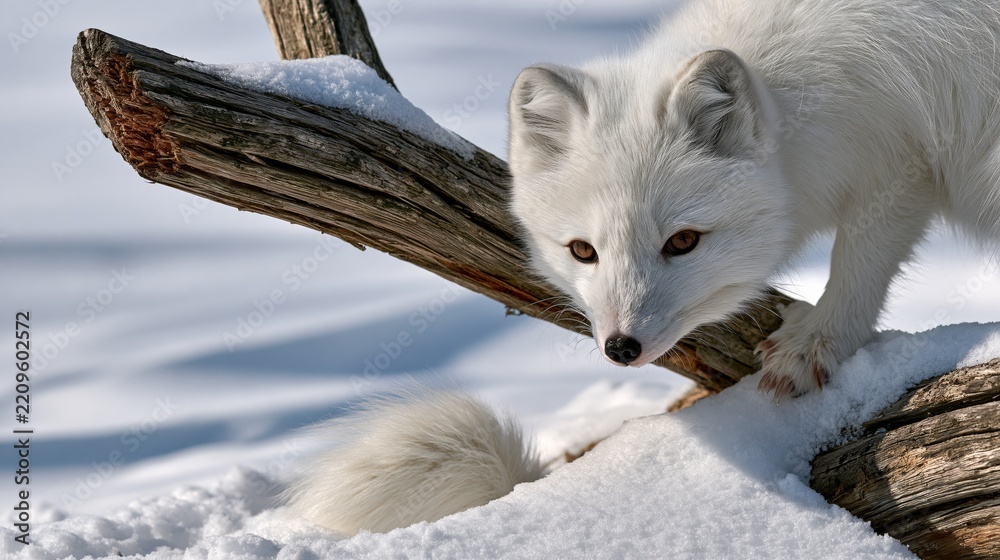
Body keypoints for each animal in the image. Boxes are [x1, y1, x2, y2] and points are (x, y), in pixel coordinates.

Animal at [287, 0, 1000, 536]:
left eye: (683, 241)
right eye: (583, 251)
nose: (621, 347)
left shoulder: (899, 168)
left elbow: (859, 261)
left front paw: (816, 344)